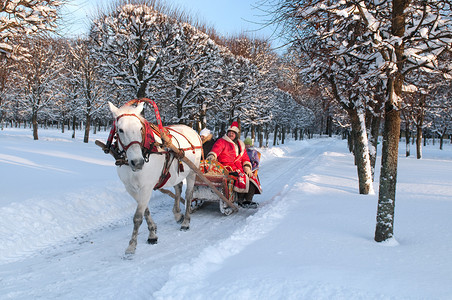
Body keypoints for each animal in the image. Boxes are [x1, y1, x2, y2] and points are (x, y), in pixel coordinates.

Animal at [107, 102, 201, 254]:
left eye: (140, 128)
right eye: (120, 130)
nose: (138, 162)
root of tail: (192, 130)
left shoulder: (146, 187)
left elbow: (138, 217)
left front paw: (132, 245)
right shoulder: (131, 188)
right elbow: (145, 211)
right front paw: (152, 232)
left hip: (192, 172)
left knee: (188, 195)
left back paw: (186, 221)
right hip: (175, 174)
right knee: (178, 188)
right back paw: (177, 214)